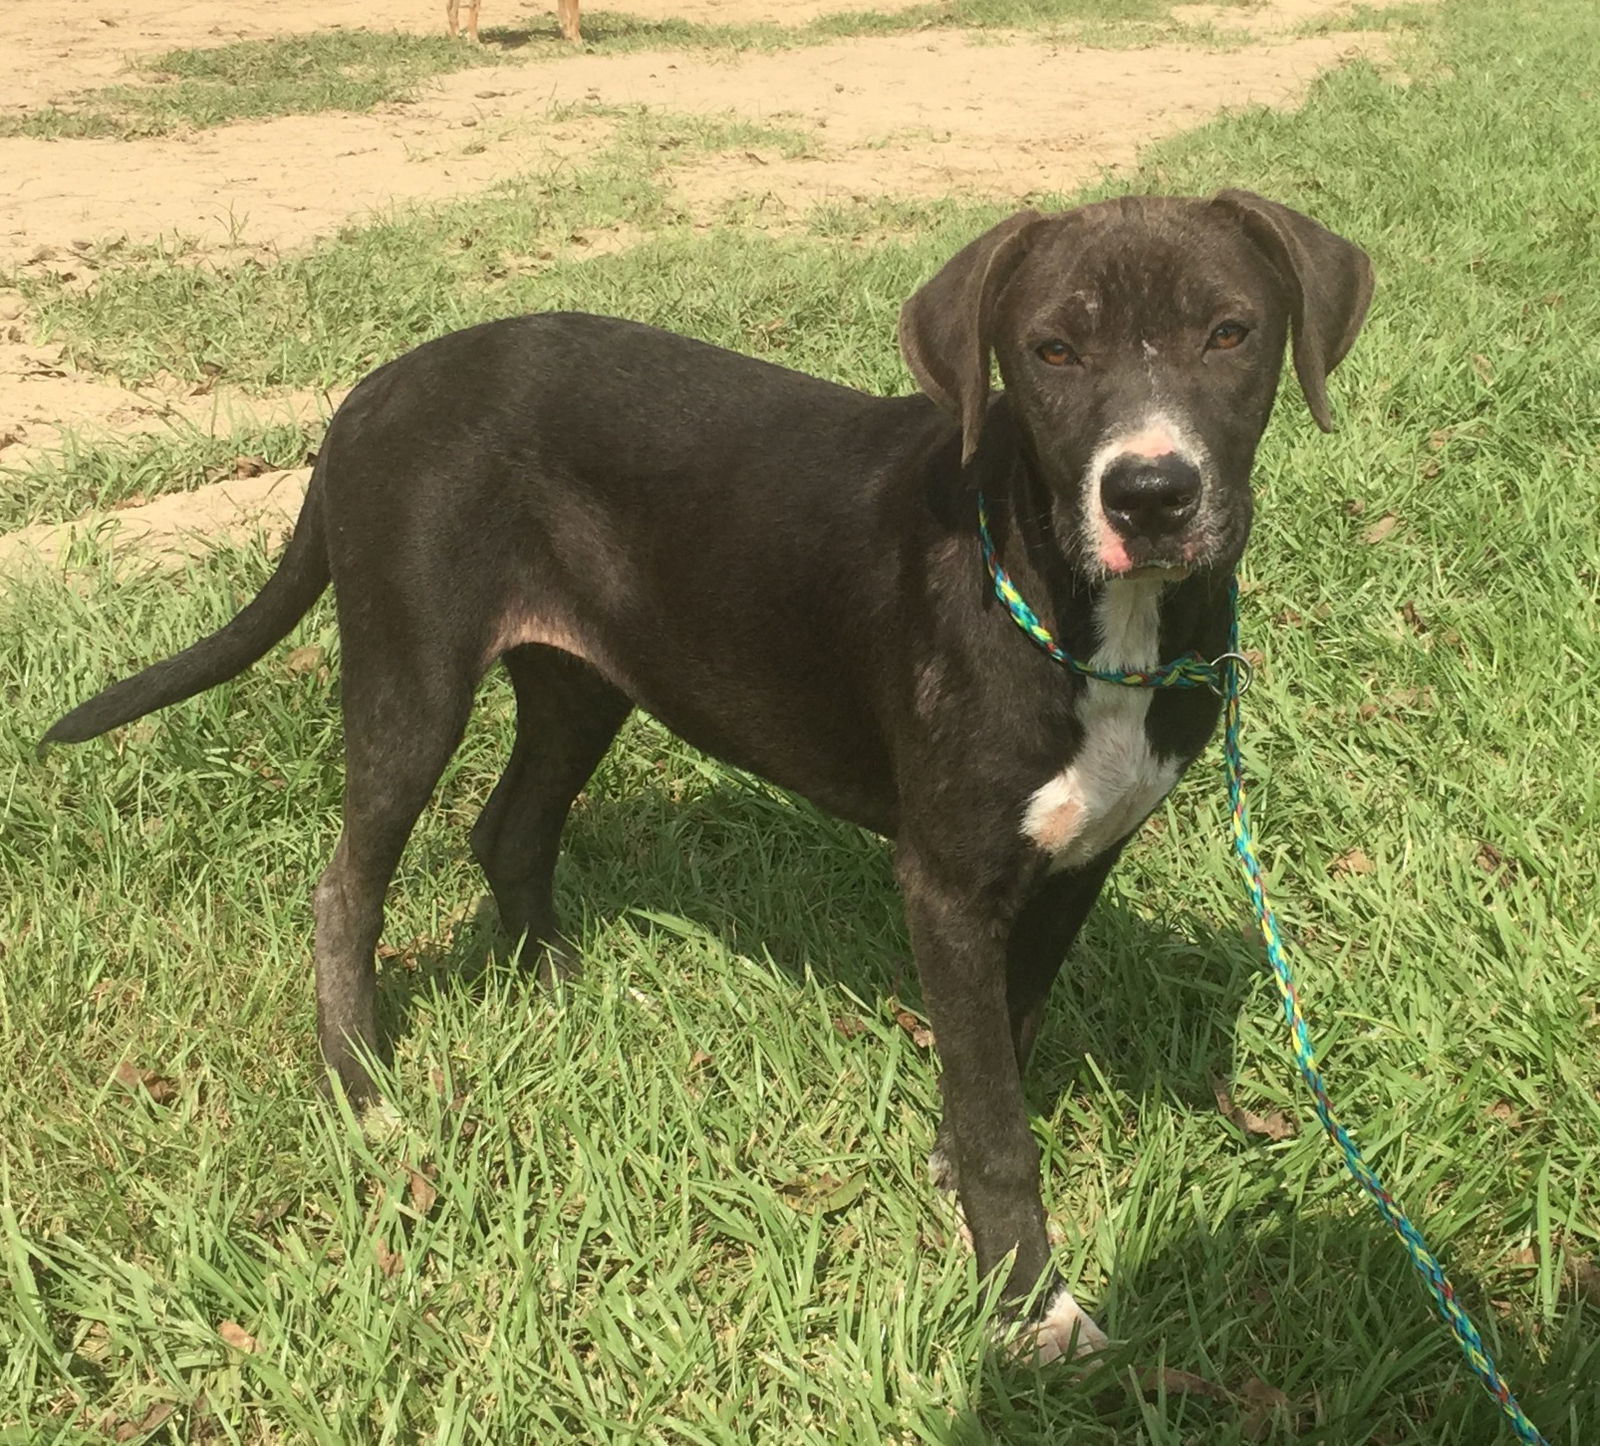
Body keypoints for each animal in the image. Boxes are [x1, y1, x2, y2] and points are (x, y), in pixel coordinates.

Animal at [448, 0, 579, 42]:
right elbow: (574, 18)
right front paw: (578, 41)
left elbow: (565, 16)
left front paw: (568, 35)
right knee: (472, 9)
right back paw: (474, 40)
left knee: (450, 8)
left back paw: (456, 39)